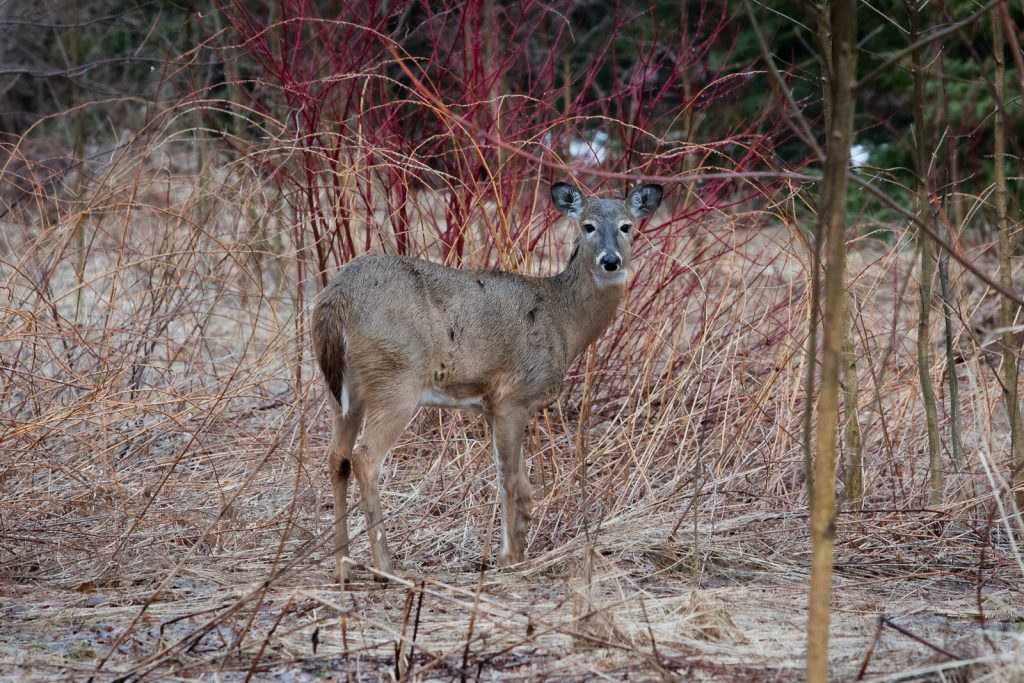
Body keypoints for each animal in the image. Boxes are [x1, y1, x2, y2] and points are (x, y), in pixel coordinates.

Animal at [311, 180, 663, 581]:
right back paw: (386, 566)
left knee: (336, 457)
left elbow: (510, 479)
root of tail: (337, 298)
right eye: (587, 226)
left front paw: (512, 553)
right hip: (397, 377)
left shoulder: (491, 405)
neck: (564, 321)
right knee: (365, 456)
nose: (610, 260)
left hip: (342, 391)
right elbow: (512, 480)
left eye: (626, 226)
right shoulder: (515, 396)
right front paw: (511, 558)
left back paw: (342, 566)